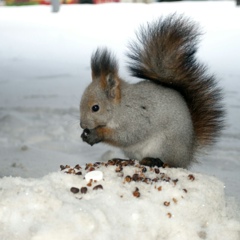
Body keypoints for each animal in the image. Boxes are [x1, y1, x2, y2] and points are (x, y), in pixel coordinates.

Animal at [79, 14, 224, 169]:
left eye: (95, 108)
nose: (82, 125)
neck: (121, 107)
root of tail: (187, 156)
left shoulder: (136, 119)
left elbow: (127, 136)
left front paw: (97, 134)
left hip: (165, 145)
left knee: (171, 163)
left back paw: (154, 161)